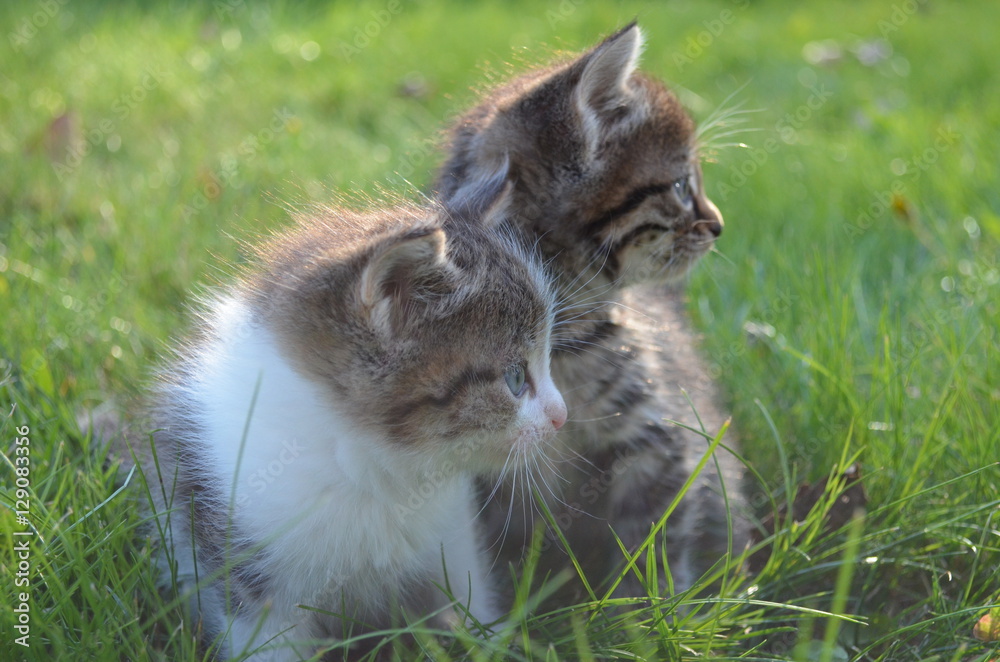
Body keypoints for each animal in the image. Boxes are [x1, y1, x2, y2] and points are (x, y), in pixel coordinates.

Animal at [142, 174, 568, 660]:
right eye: (515, 378)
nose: (561, 415)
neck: (377, 468)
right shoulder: (248, 570)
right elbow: (265, 641)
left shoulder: (452, 534)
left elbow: (468, 595)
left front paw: (492, 643)